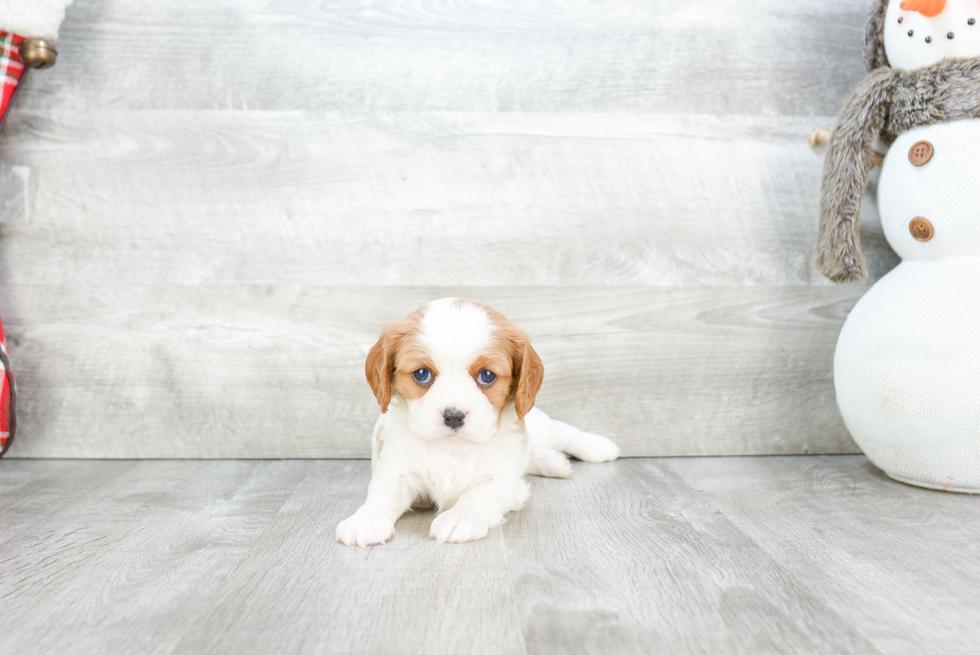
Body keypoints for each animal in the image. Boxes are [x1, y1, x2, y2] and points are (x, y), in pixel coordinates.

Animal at [334, 298, 616, 548]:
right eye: (422, 374)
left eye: (487, 375)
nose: (453, 415)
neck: (454, 448)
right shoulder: (396, 470)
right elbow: (382, 493)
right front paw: (365, 519)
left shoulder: (506, 482)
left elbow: (478, 494)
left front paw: (460, 518)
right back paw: (555, 462)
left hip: (538, 427)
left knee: (561, 432)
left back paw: (599, 447)